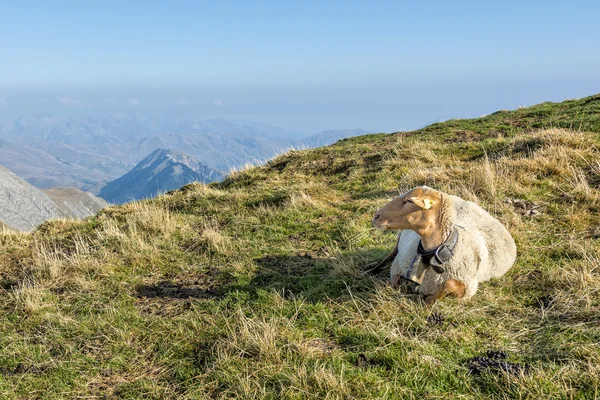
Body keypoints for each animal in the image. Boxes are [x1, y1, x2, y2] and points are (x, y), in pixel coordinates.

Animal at [370, 187, 516, 304]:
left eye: (410, 201)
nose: (376, 216)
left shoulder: (468, 287)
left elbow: (448, 284)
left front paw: (428, 299)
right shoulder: (397, 267)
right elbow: (394, 283)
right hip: (400, 239)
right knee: (389, 255)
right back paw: (371, 269)